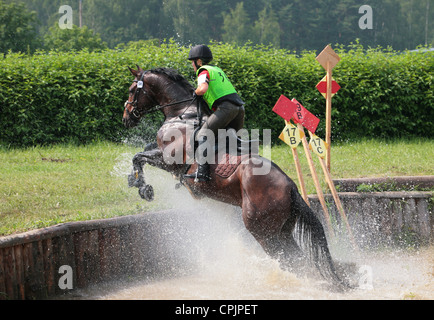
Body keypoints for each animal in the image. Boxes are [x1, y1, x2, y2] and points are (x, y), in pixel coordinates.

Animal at [123, 65, 352, 290]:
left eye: (132, 90)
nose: (126, 118)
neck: (182, 114)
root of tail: (291, 188)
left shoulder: (170, 161)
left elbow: (139, 157)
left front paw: (142, 187)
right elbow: (142, 152)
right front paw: (135, 180)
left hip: (263, 232)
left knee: (289, 260)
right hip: (283, 230)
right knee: (297, 258)